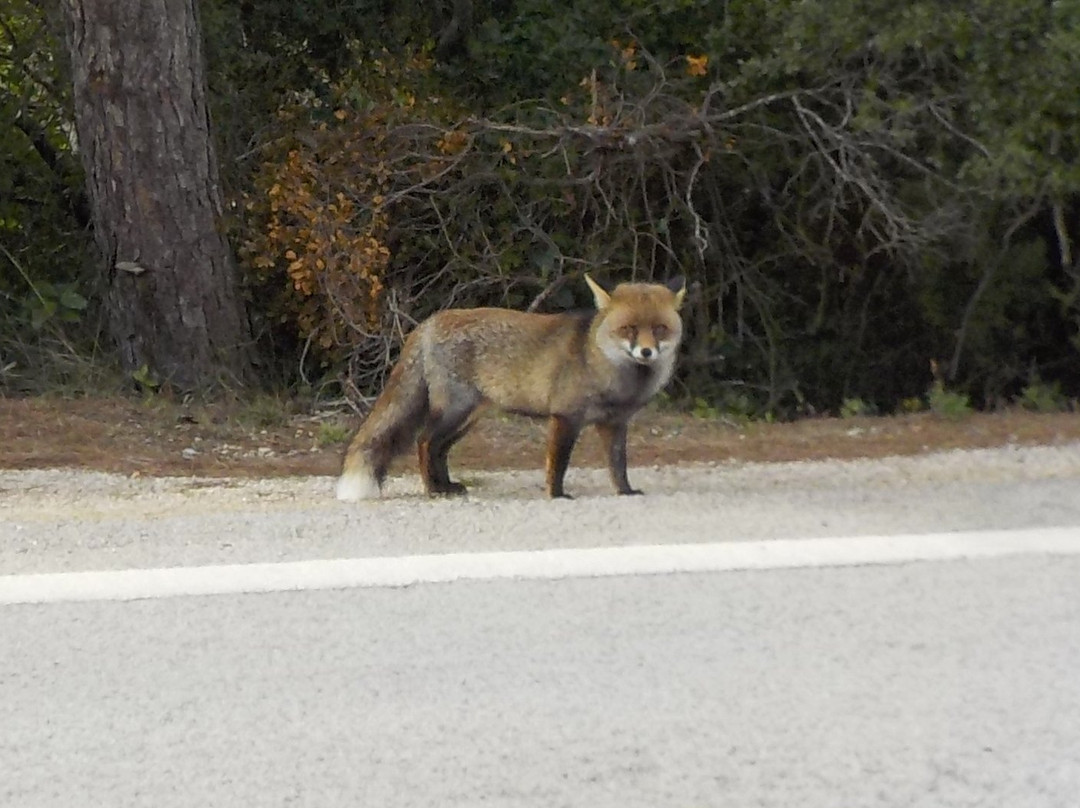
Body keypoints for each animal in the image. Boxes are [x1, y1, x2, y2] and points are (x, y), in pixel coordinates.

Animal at [336, 274, 686, 501]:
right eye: (629, 329)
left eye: (659, 329)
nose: (646, 352)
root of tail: (428, 322)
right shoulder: (566, 416)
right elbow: (558, 463)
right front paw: (556, 495)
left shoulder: (614, 424)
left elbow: (618, 465)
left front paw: (625, 491)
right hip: (454, 410)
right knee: (424, 442)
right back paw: (433, 490)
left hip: (468, 419)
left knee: (438, 449)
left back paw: (447, 486)